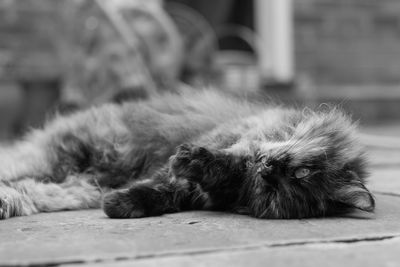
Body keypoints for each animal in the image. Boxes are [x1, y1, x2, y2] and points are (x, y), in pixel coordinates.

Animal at [0, 89, 376, 221]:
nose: (267, 168)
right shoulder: (232, 139)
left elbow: (166, 192)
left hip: (77, 185)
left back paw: (7, 205)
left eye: (273, 192)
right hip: (68, 159)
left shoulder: (202, 192)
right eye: (301, 173)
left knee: (28, 189)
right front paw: (191, 159)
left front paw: (121, 204)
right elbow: (178, 172)